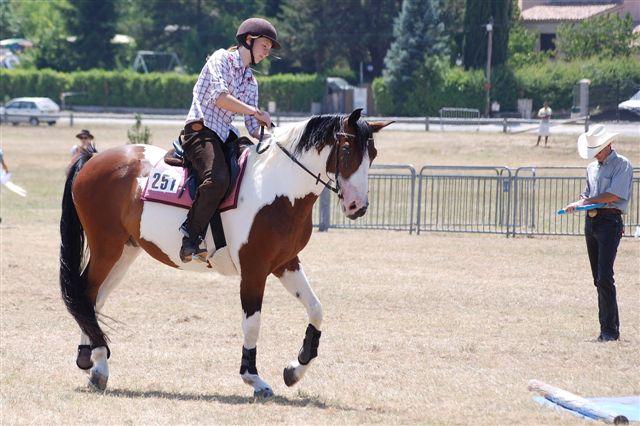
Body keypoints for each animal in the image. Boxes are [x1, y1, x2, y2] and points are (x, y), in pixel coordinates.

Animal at [58, 109, 390, 396]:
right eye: (346, 151)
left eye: (372, 154)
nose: (357, 206)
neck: (277, 187)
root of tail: (94, 158)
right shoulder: (254, 270)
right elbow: (252, 324)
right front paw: (254, 379)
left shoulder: (285, 263)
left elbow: (316, 309)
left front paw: (295, 369)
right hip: (107, 248)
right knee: (86, 294)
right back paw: (98, 362)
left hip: (125, 252)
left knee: (93, 298)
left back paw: (92, 363)